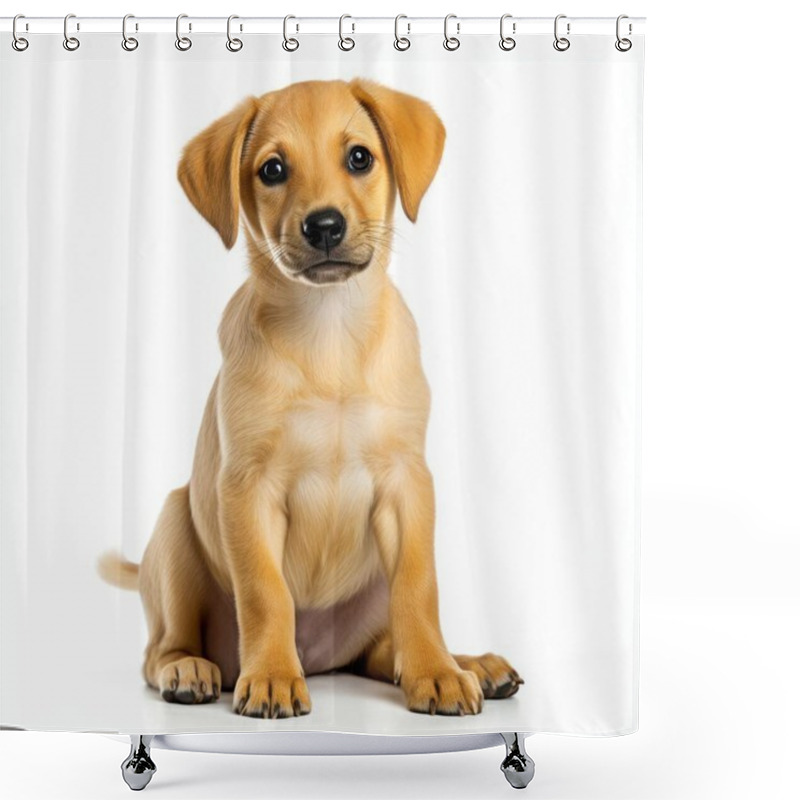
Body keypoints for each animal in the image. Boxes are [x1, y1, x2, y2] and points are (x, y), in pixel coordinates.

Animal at [98, 79, 524, 720]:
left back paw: (467, 663)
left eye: (359, 158)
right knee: (160, 649)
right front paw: (273, 676)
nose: (324, 226)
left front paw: (437, 673)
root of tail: (325, 659)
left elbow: (420, 587)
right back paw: (191, 669)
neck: (330, 333)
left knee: (387, 647)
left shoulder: (408, 482)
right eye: (272, 169)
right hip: (175, 527)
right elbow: (265, 592)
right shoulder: (247, 489)